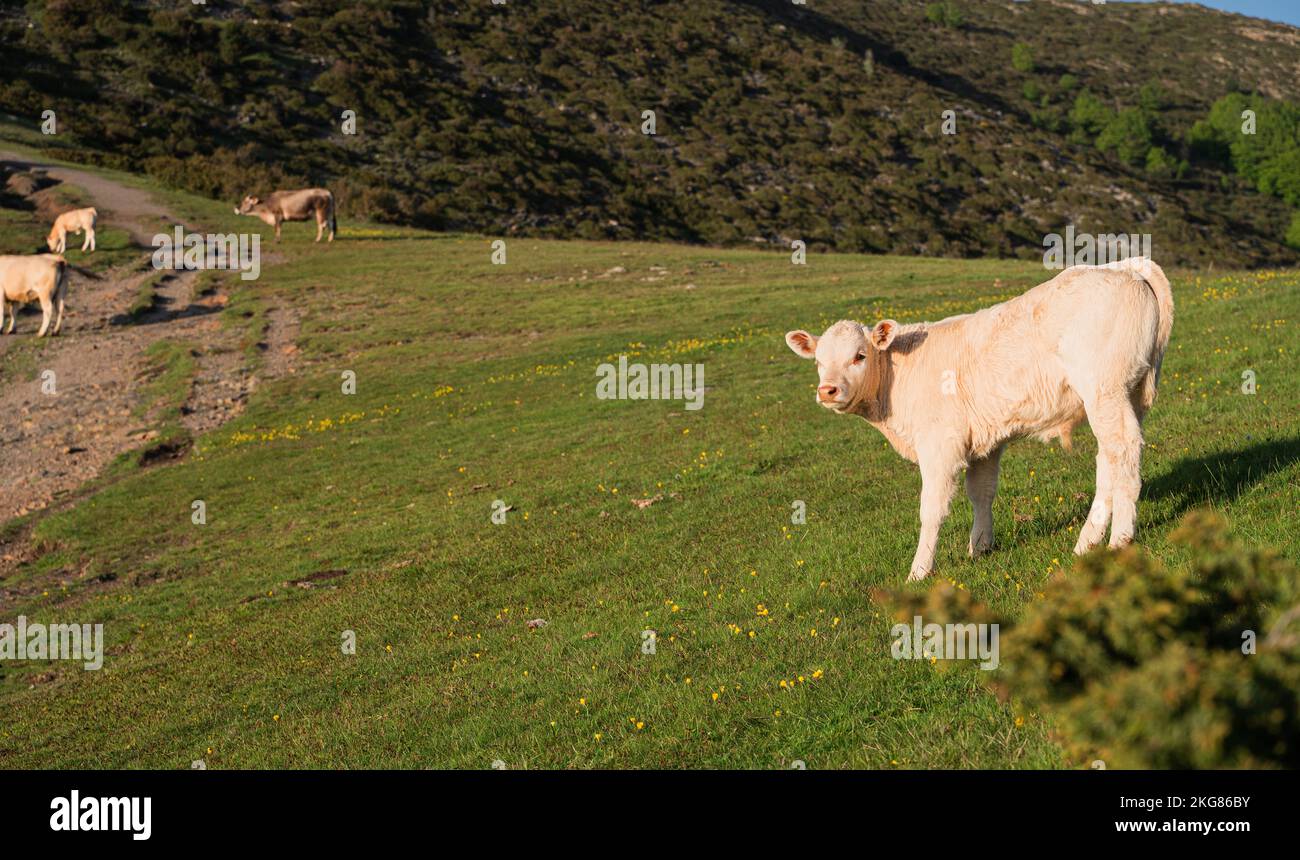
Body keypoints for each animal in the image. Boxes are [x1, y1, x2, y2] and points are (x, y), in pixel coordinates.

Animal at [784, 258, 1174, 581]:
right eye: (818, 361)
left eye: (859, 356)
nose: (828, 390)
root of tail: (1125, 268)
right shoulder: (983, 442)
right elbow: (981, 493)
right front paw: (980, 547)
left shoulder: (940, 445)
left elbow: (932, 509)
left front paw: (919, 571)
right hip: (1126, 395)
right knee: (1109, 458)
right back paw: (1088, 542)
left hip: (1104, 391)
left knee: (1123, 450)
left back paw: (1119, 539)